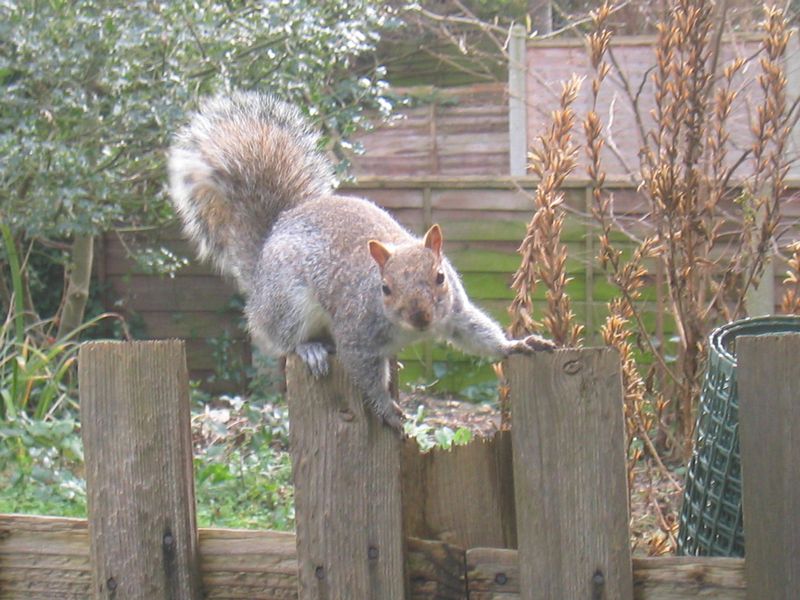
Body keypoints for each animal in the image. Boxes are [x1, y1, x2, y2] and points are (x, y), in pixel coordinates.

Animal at [167, 91, 556, 428]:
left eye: (440, 277)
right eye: (385, 288)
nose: (421, 318)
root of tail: (267, 246)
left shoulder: (455, 313)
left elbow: (478, 334)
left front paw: (517, 344)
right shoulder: (356, 335)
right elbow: (365, 374)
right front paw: (384, 407)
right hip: (287, 301)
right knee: (280, 338)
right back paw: (310, 349)